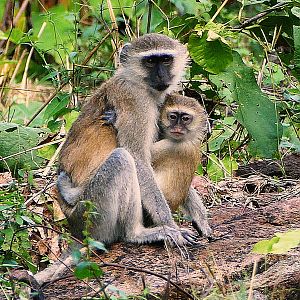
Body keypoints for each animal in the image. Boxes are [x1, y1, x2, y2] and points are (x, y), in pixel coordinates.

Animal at [57, 34, 193, 246]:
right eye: (150, 61)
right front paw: (171, 226)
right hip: (89, 214)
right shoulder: (136, 101)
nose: (161, 76)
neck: (138, 82)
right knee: (122, 159)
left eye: (165, 60)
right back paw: (137, 234)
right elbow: (138, 158)